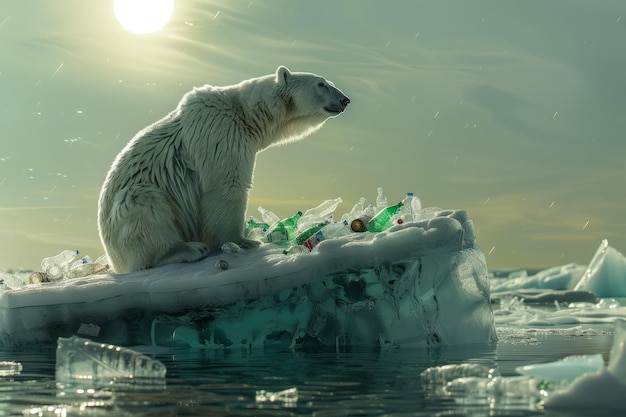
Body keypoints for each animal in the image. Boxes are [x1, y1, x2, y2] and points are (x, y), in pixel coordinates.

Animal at [100, 66, 348, 272]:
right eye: (321, 83)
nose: (345, 99)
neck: (245, 115)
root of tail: (114, 260)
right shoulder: (222, 135)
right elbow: (226, 188)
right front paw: (244, 241)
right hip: (129, 217)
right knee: (143, 205)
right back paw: (187, 249)